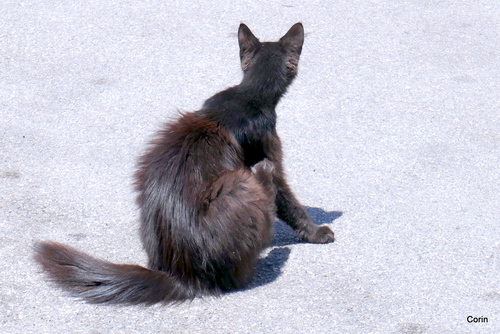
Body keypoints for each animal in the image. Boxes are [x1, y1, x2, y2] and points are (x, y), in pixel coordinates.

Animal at [35, 22, 336, 306]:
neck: (249, 94)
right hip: (242, 184)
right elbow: (290, 202)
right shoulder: (271, 152)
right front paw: (318, 233)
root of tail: (182, 275)